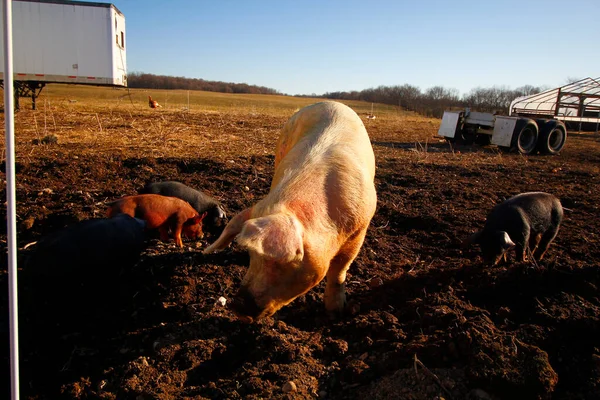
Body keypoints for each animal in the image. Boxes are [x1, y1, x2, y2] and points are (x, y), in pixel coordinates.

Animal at [204, 101, 378, 324]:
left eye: (279, 262)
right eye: (252, 255)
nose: (236, 307)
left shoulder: (360, 228)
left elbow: (340, 270)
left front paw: (335, 314)